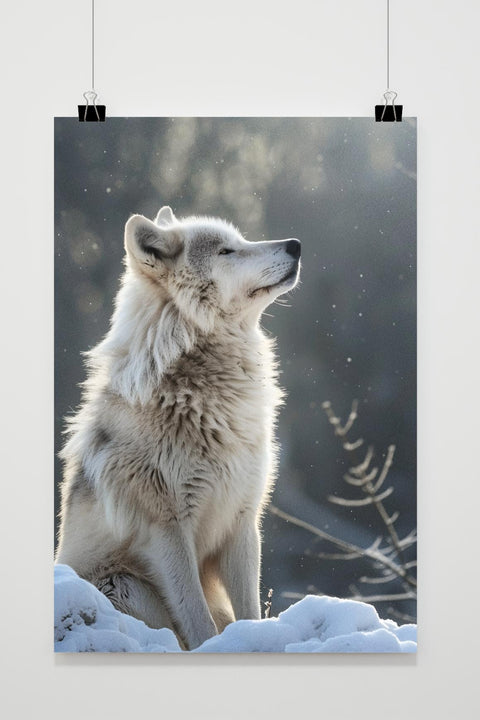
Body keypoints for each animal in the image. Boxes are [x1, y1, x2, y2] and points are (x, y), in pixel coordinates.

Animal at [55, 206, 301, 649]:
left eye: (242, 240)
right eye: (226, 251)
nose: (296, 244)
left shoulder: (242, 520)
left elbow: (250, 612)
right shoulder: (166, 530)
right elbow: (197, 620)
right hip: (124, 585)